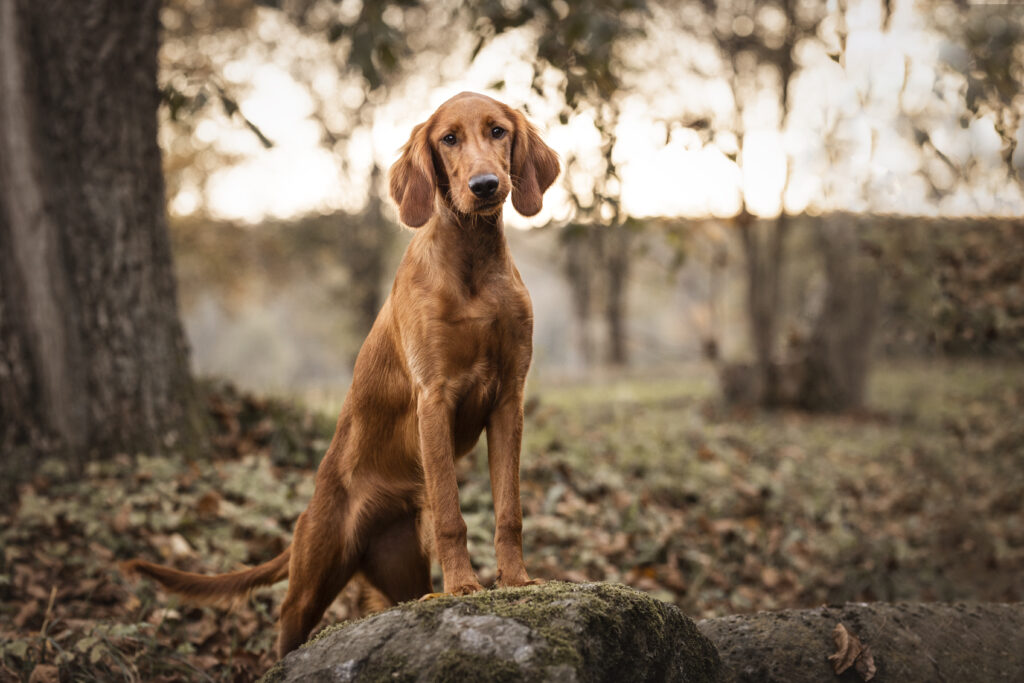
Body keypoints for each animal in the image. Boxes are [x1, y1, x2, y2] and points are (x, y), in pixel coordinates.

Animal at [125, 93, 569, 659]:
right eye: (448, 139)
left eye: (497, 131)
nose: (486, 186)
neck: (472, 261)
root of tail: (313, 509)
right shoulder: (435, 398)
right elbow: (450, 512)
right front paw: (465, 586)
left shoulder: (509, 399)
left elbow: (509, 509)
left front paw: (515, 580)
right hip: (313, 576)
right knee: (287, 627)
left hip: (403, 574)